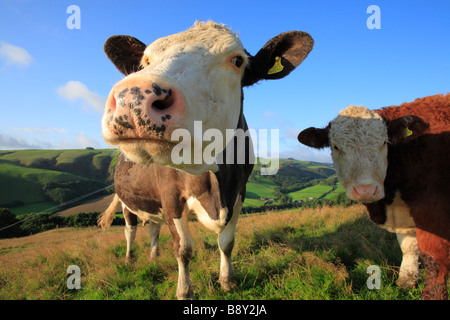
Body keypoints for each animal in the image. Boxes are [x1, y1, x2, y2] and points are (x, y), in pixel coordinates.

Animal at [97, 21, 312, 298]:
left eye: (237, 60)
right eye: (146, 60)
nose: (133, 95)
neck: (216, 187)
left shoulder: (238, 193)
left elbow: (227, 242)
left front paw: (227, 280)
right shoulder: (170, 196)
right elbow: (183, 248)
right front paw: (184, 290)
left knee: (153, 226)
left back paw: (153, 257)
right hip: (127, 202)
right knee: (130, 230)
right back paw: (129, 258)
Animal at [298, 94, 450, 298]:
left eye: (384, 143)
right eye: (336, 147)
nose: (365, 190)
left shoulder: (432, 210)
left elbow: (433, 258)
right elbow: (409, 247)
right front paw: (406, 281)